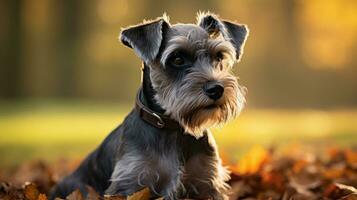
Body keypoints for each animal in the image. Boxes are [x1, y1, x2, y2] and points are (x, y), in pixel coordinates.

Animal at [50, 12, 248, 200]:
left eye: (219, 56)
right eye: (177, 59)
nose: (216, 89)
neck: (171, 127)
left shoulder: (206, 181)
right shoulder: (130, 182)